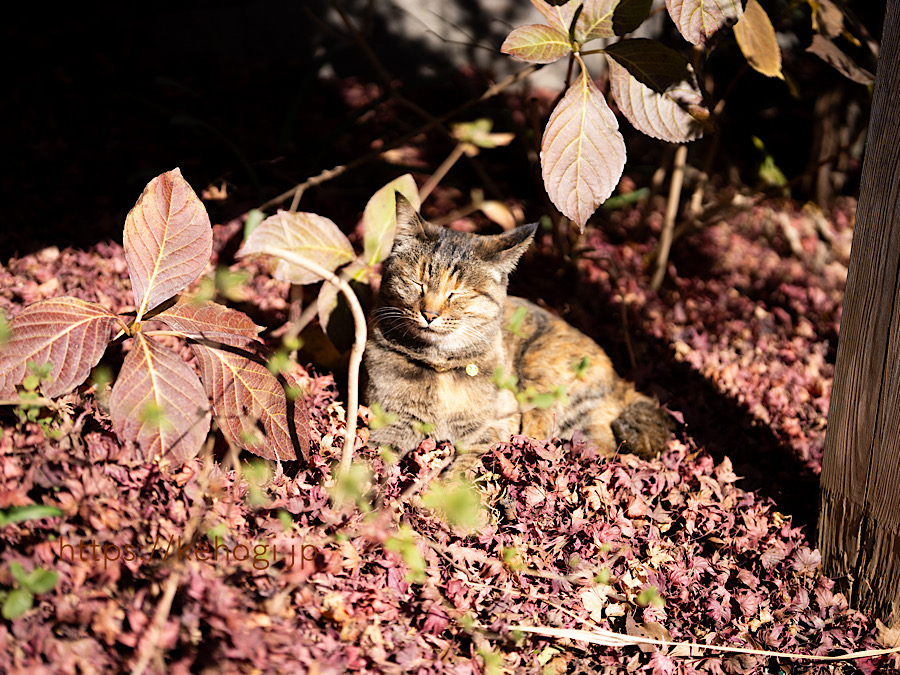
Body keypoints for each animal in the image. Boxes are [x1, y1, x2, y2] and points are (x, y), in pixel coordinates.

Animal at [362, 193, 672, 462]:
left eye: (458, 293)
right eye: (417, 282)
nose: (429, 314)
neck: (439, 369)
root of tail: (621, 380)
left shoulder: (491, 427)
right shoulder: (392, 422)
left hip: (541, 371)